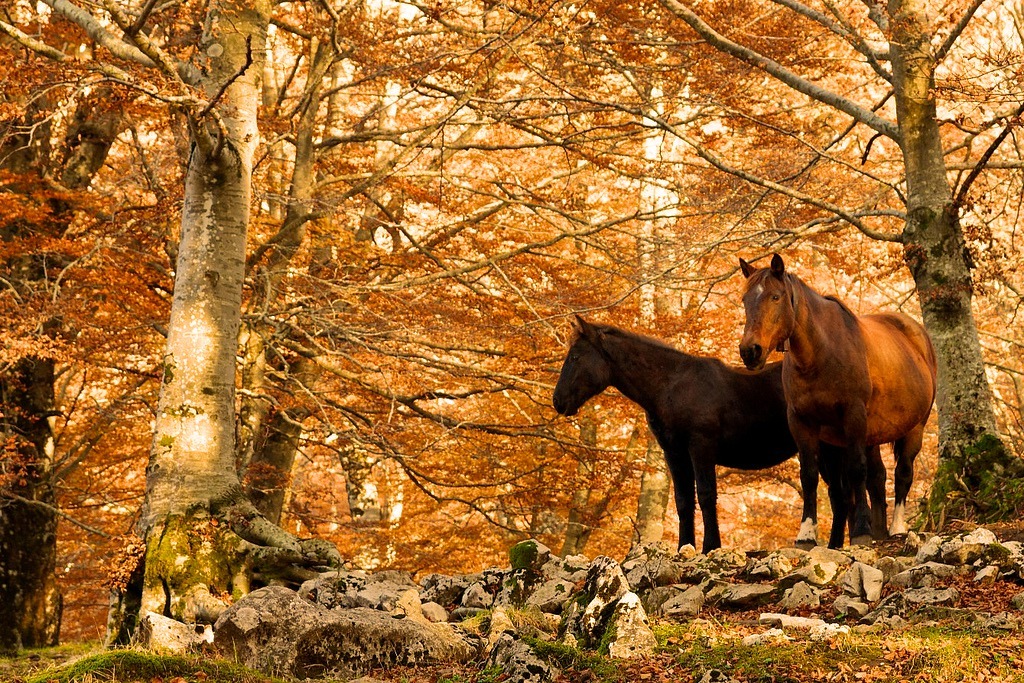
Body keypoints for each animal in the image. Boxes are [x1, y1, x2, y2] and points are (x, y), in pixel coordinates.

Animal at [552, 315, 880, 548]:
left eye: (576, 357)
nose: (558, 401)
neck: (671, 385)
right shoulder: (674, 453)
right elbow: (684, 501)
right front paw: (684, 547)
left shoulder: (701, 447)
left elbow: (707, 494)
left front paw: (711, 546)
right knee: (840, 496)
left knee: (843, 494)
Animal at [737, 255, 937, 548]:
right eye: (745, 299)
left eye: (775, 296)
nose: (750, 351)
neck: (820, 354)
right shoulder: (802, 423)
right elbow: (810, 476)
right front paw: (806, 534)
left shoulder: (853, 416)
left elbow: (856, 471)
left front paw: (862, 530)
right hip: (872, 435)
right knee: (878, 478)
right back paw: (880, 530)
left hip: (914, 428)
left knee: (902, 473)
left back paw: (897, 528)